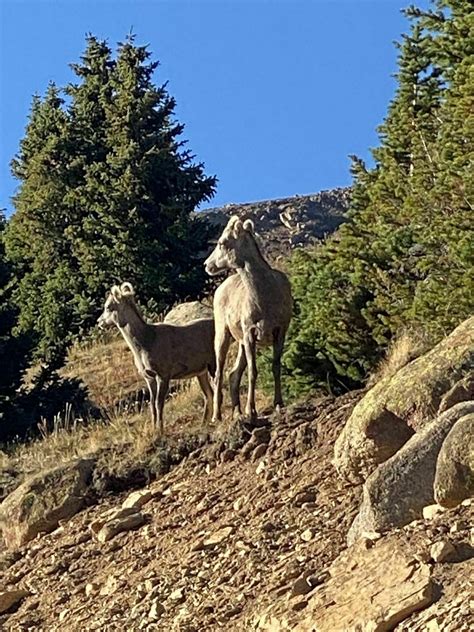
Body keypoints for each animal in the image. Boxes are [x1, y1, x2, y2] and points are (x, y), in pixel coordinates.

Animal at [98, 282, 217, 434]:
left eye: (108, 307)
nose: (99, 322)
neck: (146, 342)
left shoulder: (163, 376)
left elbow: (159, 403)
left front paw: (160, 430)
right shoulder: (149, 378)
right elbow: (152, 405)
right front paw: (154, 428)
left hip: (213, 365)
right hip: (201, 372)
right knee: (209, 394)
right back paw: (205, 422)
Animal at [205, 216, 292, 420]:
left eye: (222, 243)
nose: (207, 265)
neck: (265, 298)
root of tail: (220, 289)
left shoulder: (279, 332)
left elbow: (276, 367)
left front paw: (279, 404)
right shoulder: (250, 333)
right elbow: (253, 372)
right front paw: (251, 411)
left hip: (241, 345)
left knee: (233, 374)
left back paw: (236, 412)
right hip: (223, 336)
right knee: (219, 374)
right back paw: (217, 416)